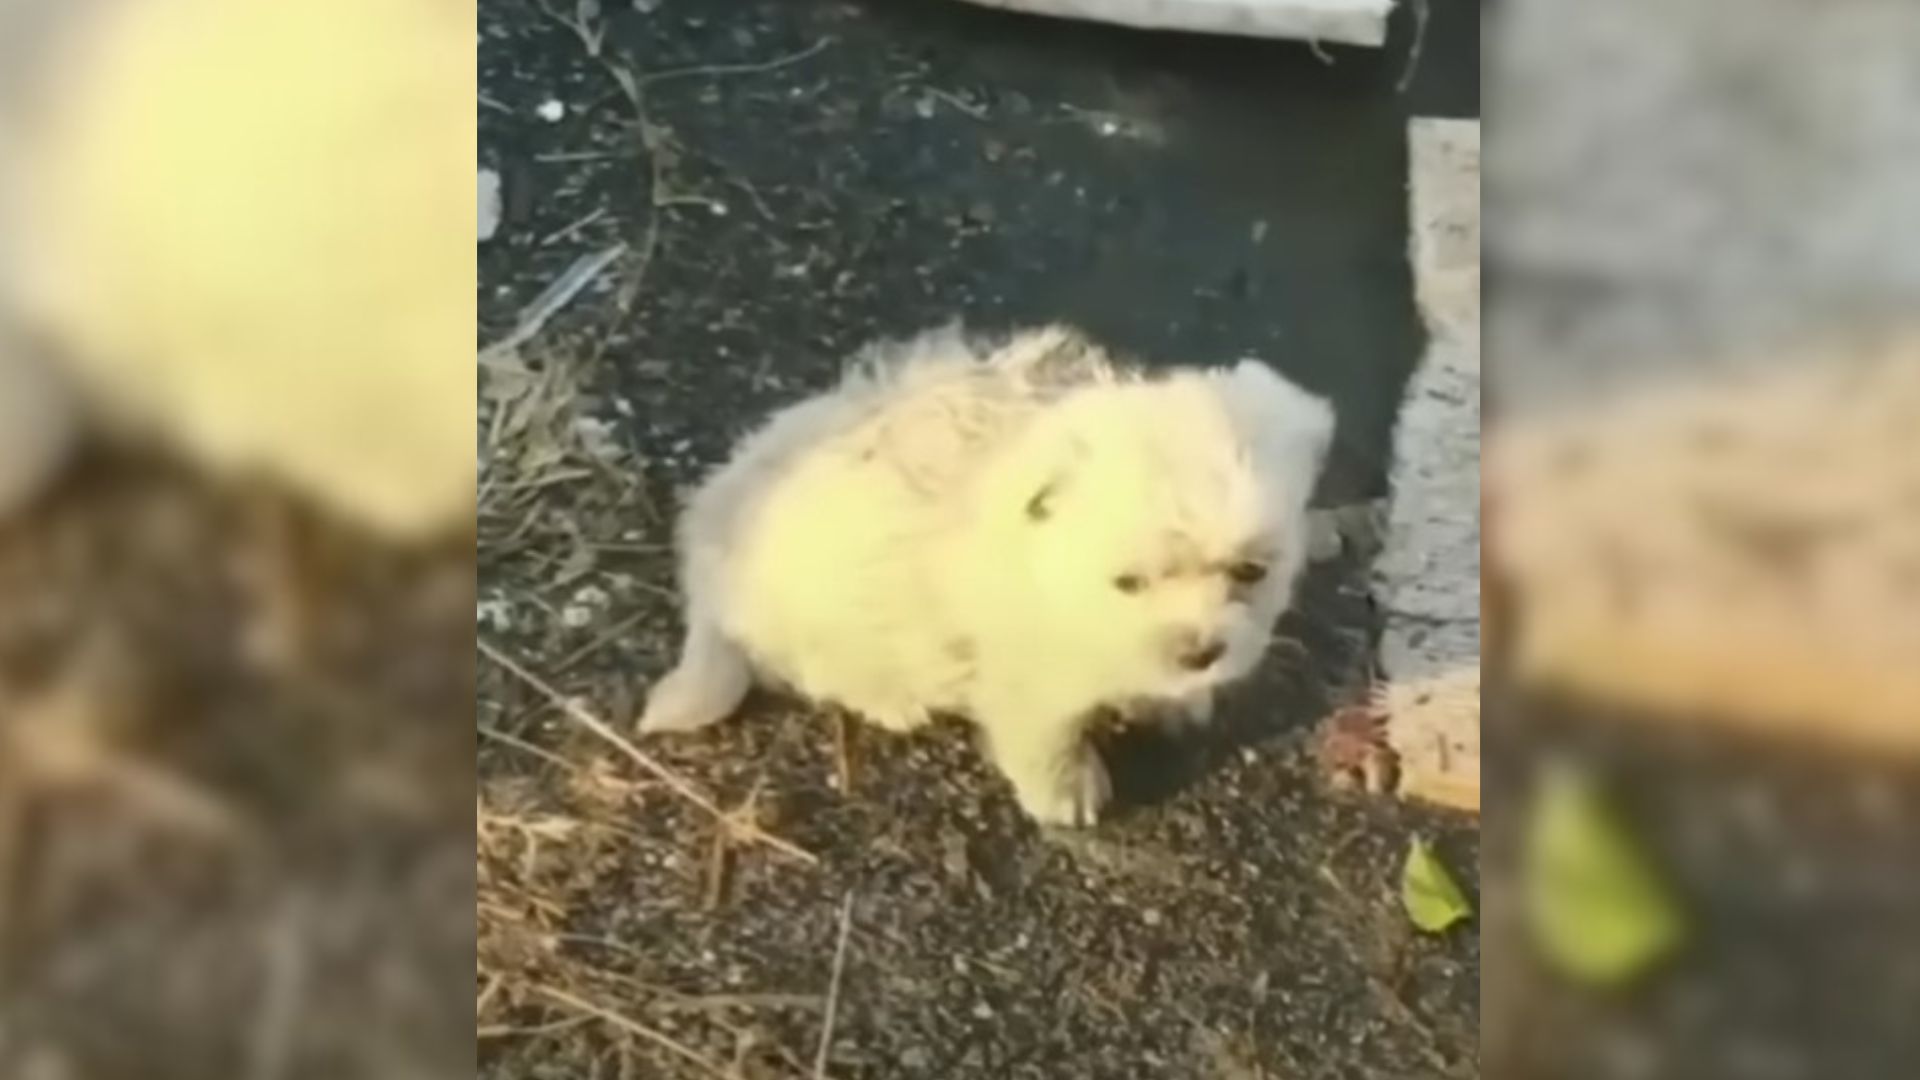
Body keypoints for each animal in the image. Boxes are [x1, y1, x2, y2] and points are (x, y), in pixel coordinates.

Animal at [637, 322, 1328, 818]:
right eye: (1127, 582)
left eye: (1251, 570)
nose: (1201, 653)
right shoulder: (1025, 677)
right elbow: (1045, 740)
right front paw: (1066, 795)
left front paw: (1177, 698)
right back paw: (895, 702)